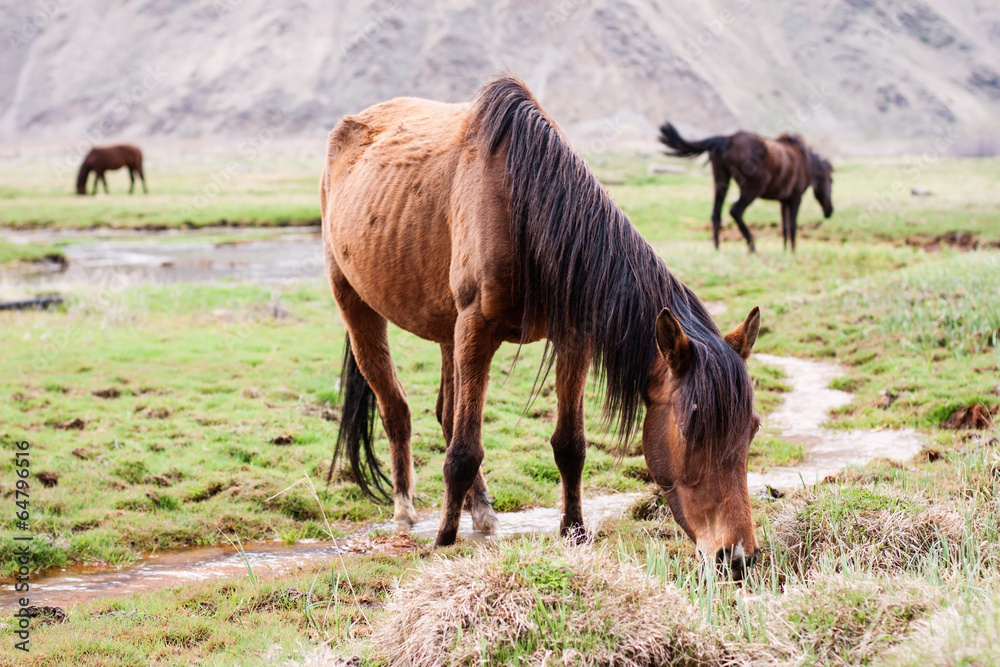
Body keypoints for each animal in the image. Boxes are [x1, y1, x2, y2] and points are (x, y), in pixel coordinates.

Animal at [321, 76, 763, 577]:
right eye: (691, 428)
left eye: (752, 428)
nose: (737, 556)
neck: (525, 208)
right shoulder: (477, 328)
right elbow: (463, 452)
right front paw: (444, 542)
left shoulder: (573, 338)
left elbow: (570, 445)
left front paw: (574, 531)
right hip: (358, 307)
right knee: (398, 410)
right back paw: (405, 511)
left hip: (446, 330)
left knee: (447, 413)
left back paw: (482, 508)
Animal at [659, 124, 834, 251]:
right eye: (831, 181)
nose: (829, 211)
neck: (806, 161)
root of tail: (727, 139)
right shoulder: (795, 198)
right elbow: (792, 225)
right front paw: (792, 251)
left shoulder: (783, 201)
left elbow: (784, 227)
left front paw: (785, 250)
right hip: (752, 188)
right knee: (735, 211)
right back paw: (752, 246)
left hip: (721, 181)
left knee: (716, 213)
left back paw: (717, 248)